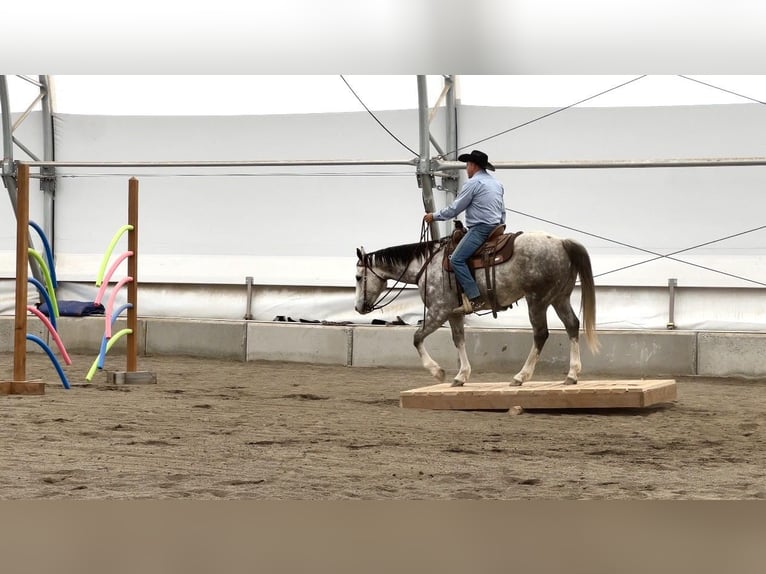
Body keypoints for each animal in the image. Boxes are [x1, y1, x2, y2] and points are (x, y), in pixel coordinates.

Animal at [356, 232, 604, 390]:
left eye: (358, 277)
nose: (359, 307)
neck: (426, 265)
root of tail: (562, 243)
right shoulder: (454, 314)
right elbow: (459, 340)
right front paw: (461, 376)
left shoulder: (438, 312)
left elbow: (417, 338)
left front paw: (438, 372)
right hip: (559, 298)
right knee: (572, 325)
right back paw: (572, 375)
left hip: (537, 301)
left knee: (541, 334)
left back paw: (520, 376)